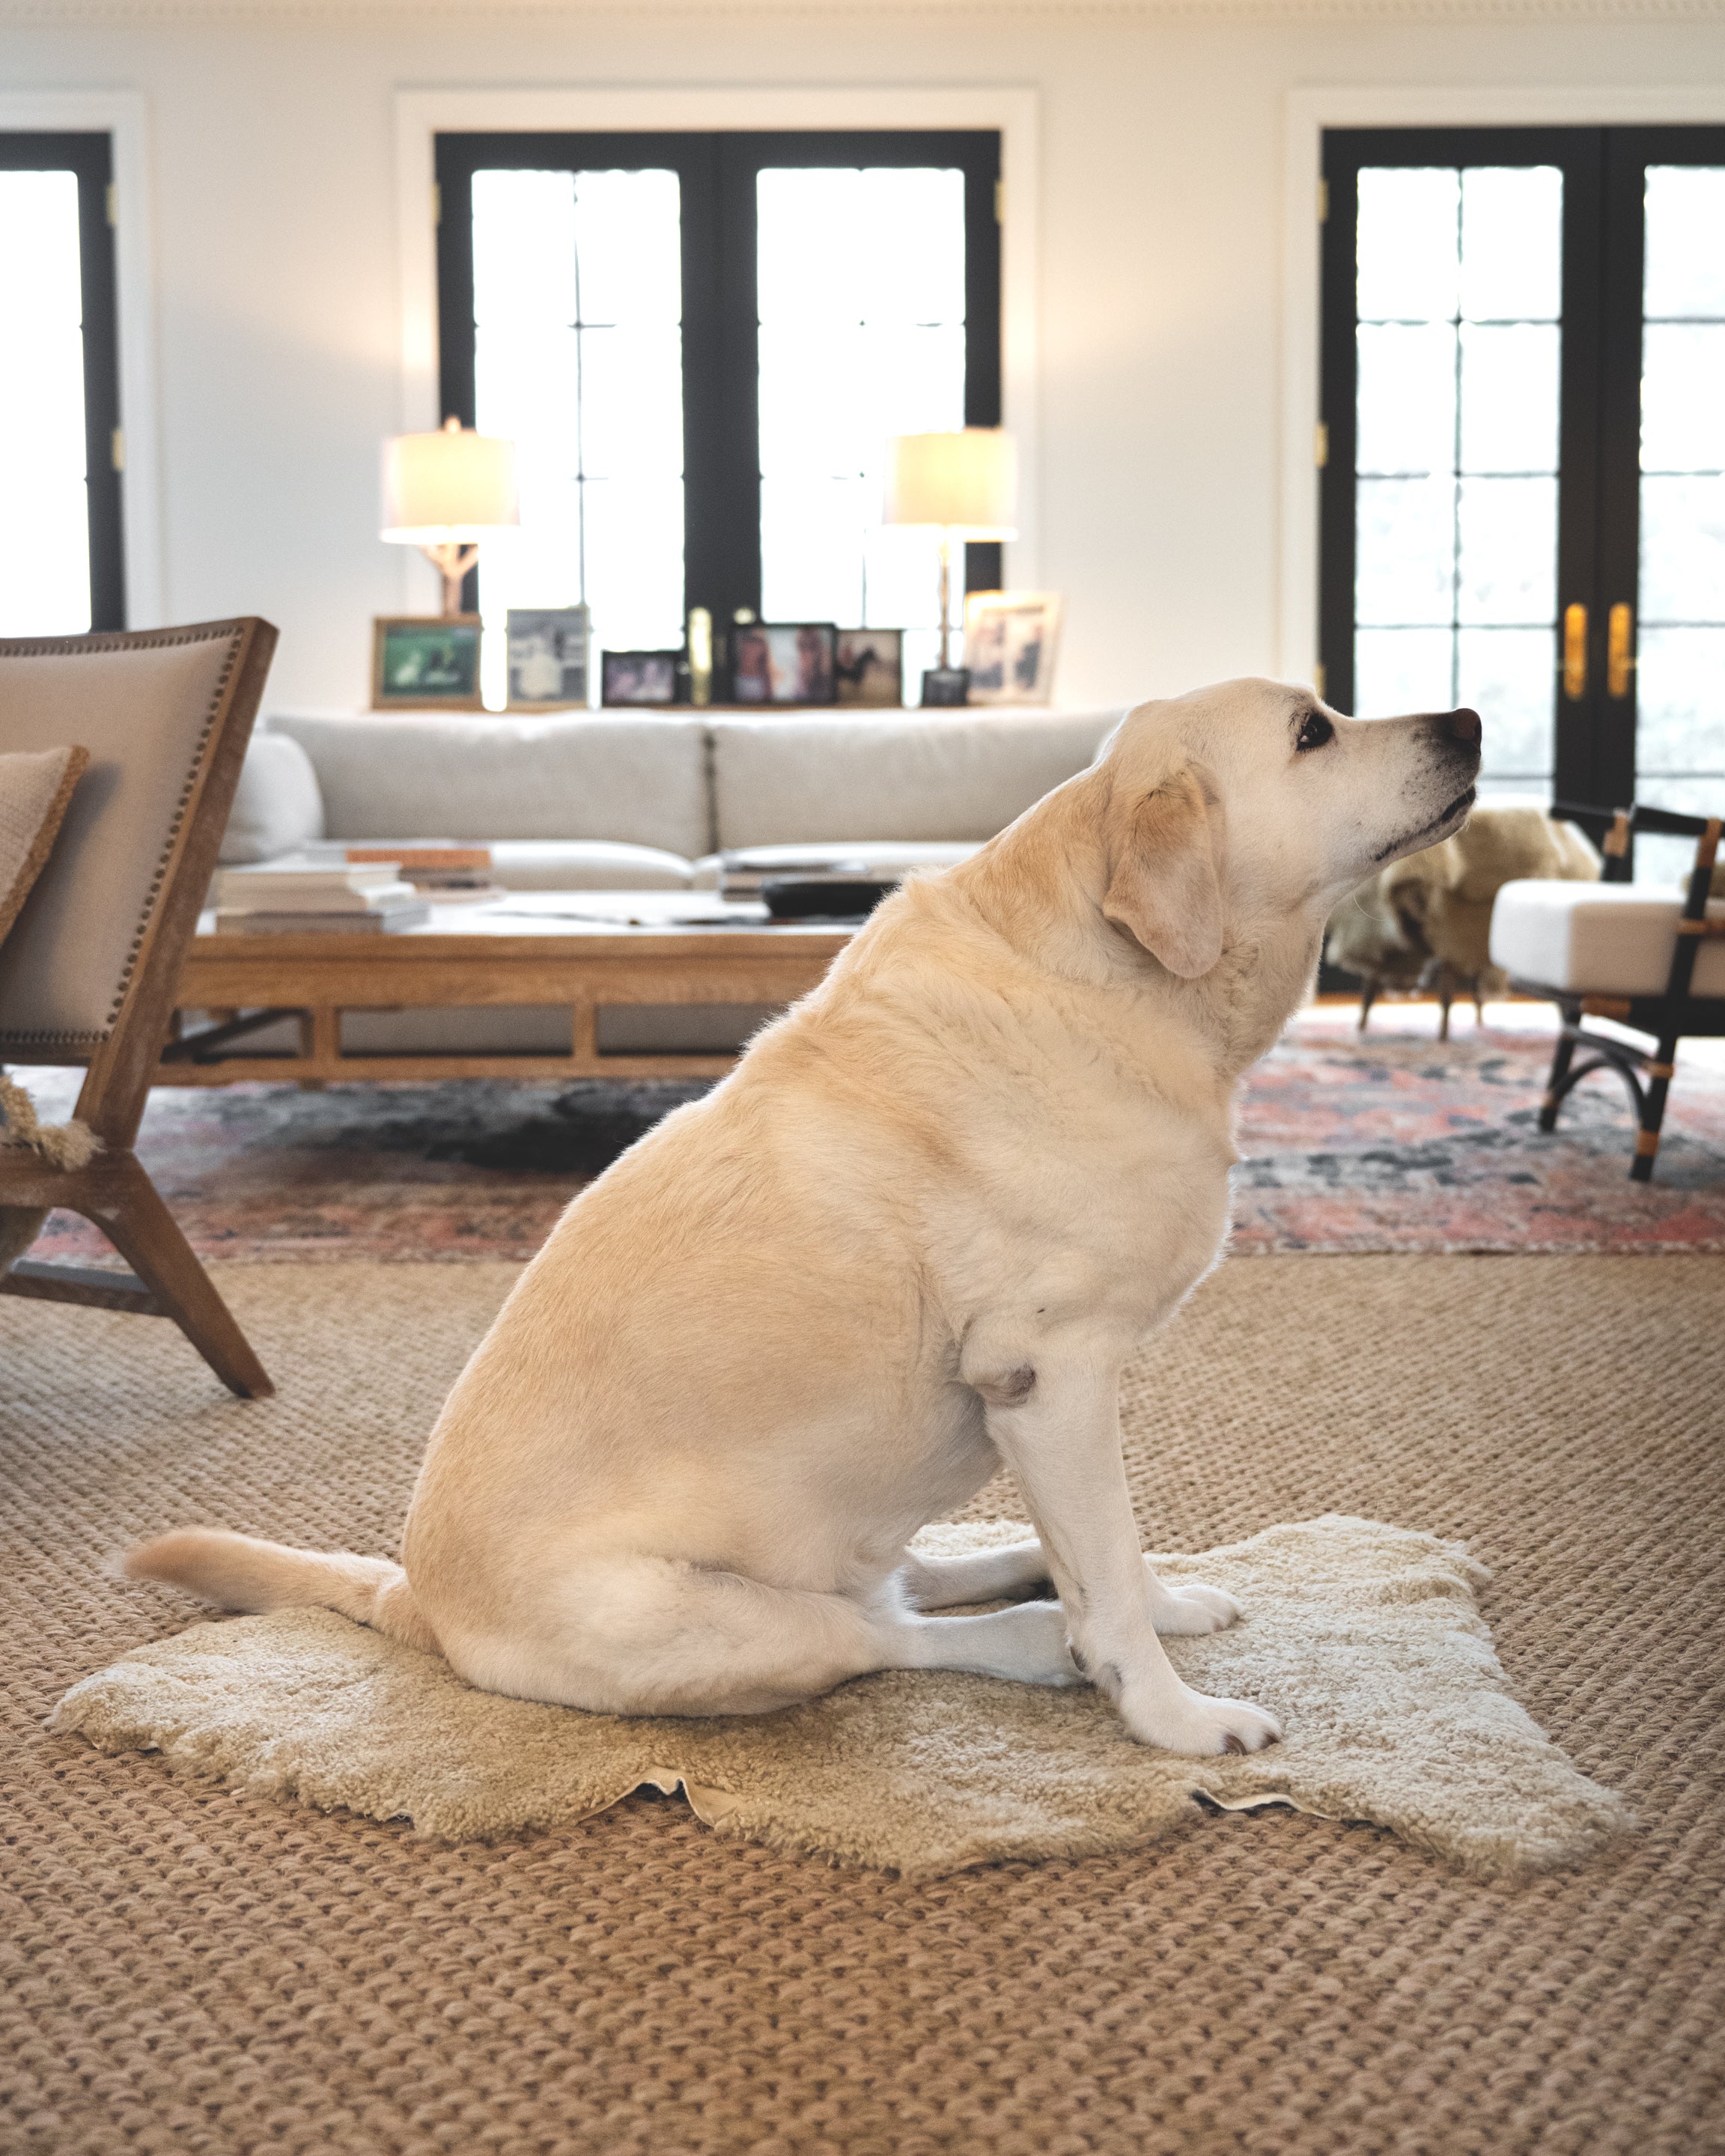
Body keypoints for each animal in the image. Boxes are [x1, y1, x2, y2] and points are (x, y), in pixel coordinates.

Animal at [131, 681, 1483, 1759]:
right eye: (1313, 731)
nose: (1470, 721)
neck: (1115, 984)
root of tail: (416, 1601)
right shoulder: (1048, 1371)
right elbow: (1101, 1580)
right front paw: (1172, 1718)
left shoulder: (1049, 1404)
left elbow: (1113, 1552)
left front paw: (1158, 1606)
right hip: (710, 1620)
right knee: (885, 1639)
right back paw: (1031, 1634)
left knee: (915, 1580)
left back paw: (1045, 1570)